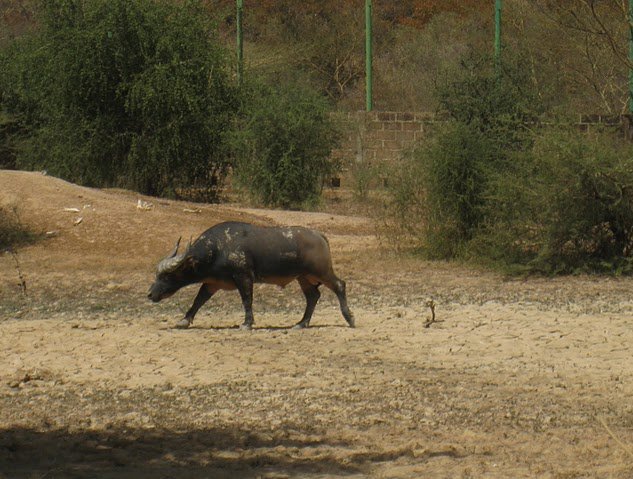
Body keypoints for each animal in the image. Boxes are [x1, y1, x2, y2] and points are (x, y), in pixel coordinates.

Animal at [149, 222, 356, 330]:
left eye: (166, 276)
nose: (150, 294)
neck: (219, 248)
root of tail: (319, 236)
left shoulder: (244, 277)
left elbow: (247, 300)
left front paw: (247, 323)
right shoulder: (212, 283)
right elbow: (199, 300)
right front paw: (184, 320)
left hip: (321, 271)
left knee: (340, 285)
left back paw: (350, 318)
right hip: (303, 277)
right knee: (313, 296)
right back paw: (301, 323)